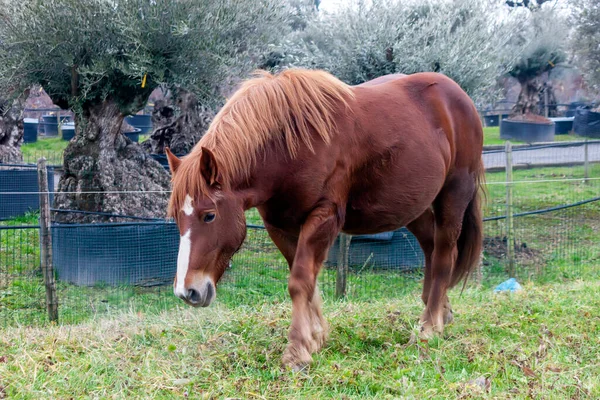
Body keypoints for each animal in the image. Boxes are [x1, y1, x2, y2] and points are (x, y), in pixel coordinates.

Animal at [166, 67, 486, 370]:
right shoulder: (279, 226)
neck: (288, 144)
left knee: (444, 254)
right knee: (431, 247)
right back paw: (441, 312)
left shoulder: (324, 216)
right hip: (411, 207)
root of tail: (459, 97)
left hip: (454, 194)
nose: (187, 291)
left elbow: (299, 280)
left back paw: (429, 328)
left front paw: (296, 351)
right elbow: (306, 281)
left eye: (209, 216)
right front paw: (315, 336)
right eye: (177, 219)